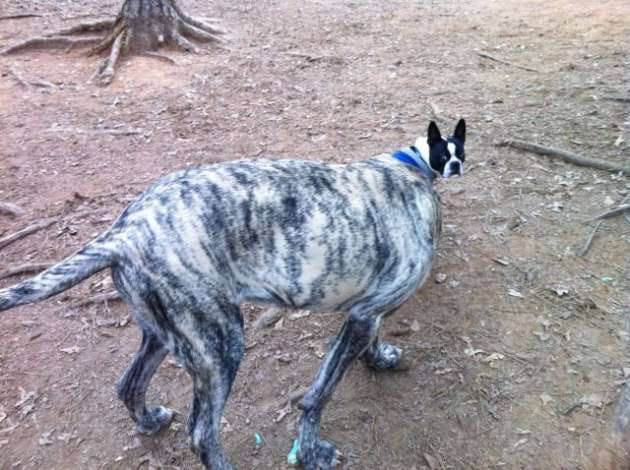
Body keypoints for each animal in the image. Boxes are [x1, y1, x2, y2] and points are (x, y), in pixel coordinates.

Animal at [0, 119, 464, 470]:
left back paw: (149, 421)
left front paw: (379, 357)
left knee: (128, 385)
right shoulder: (361, 319)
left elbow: (371, 338)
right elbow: (317, 397)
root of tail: (124, 233)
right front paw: (311, 453)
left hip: (167, 335)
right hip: (221, 345)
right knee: (202, 434)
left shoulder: (364, 314)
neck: (412, 169)